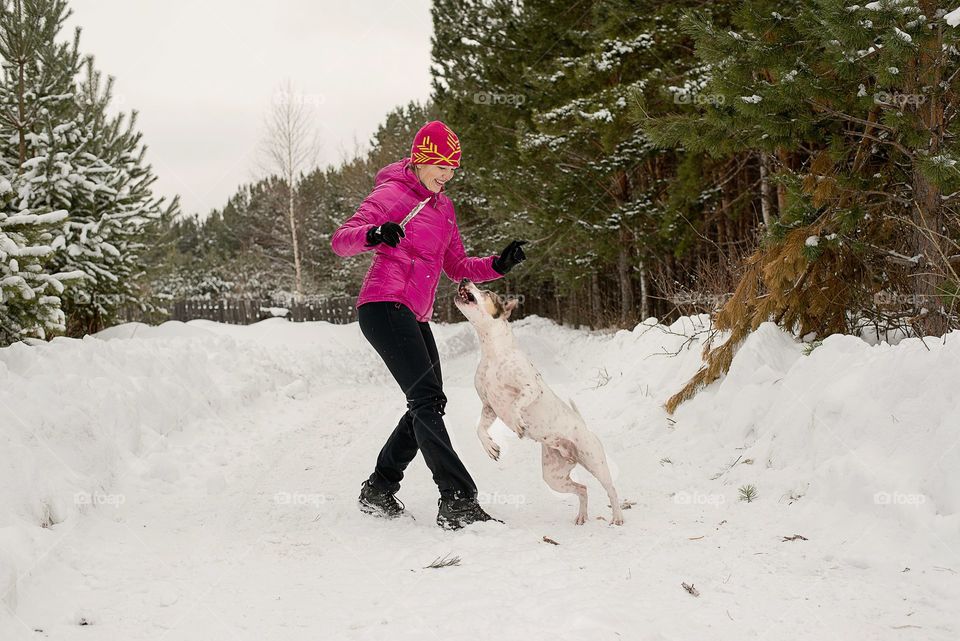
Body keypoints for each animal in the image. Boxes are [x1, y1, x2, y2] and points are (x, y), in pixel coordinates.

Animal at [456, 276, 628, 524]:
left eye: (487, 291)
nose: (464, 278)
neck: (493, 352)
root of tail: (583, 427)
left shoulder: (530, 388)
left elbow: (517, 402)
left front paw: (518, 423)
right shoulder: (489, 406)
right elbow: (480, 428)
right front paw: (490, 447)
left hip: (595, 462)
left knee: (611, 489)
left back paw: (617, 516)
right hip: (554, 476)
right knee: (582, 489)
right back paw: (581, 516)